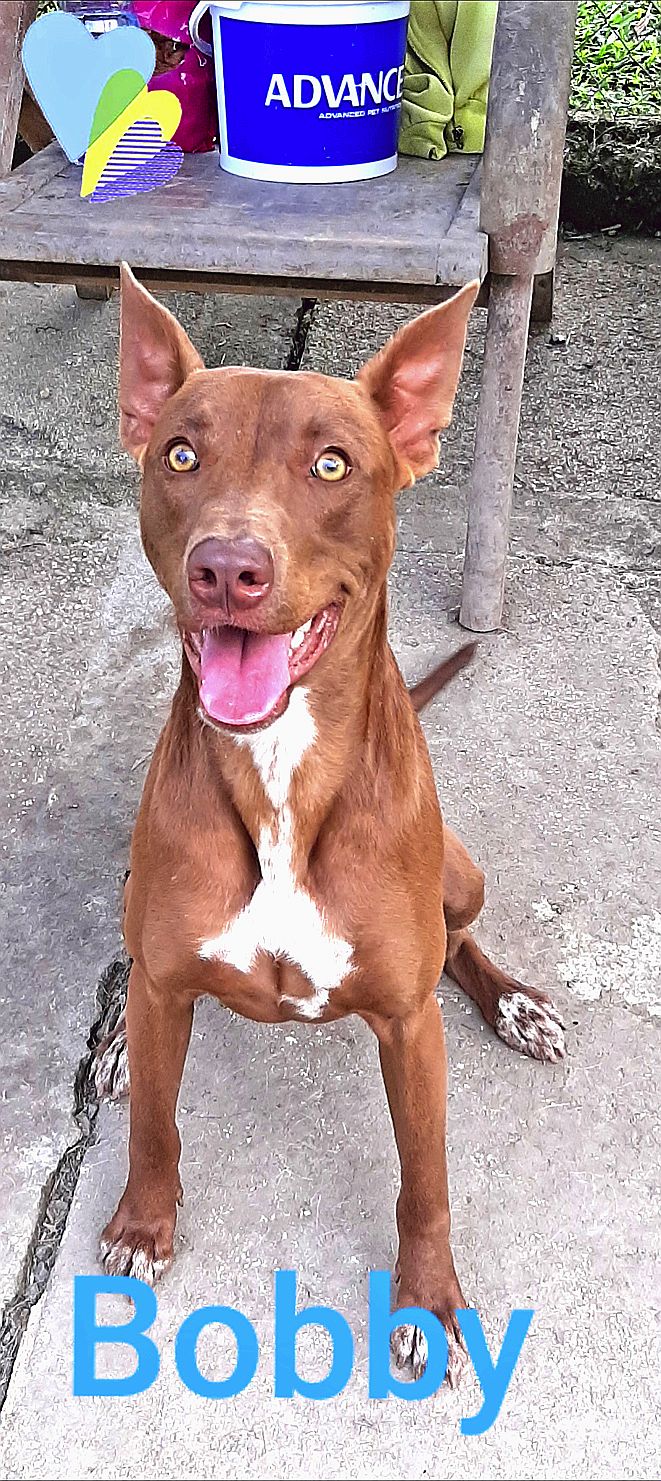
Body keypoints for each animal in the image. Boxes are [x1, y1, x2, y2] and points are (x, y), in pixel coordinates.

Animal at [97, 263, 563, 1374]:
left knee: (460, 943)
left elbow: (425, 1179)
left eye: (331, 463)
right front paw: (143, 1222)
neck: (278, 774)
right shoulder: (169, 975)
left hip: (459, 874)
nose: (229, 565)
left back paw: (516, 1005)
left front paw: (427, 1299)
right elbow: (154, 1125)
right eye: (181, 452)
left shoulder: (407, 1025)